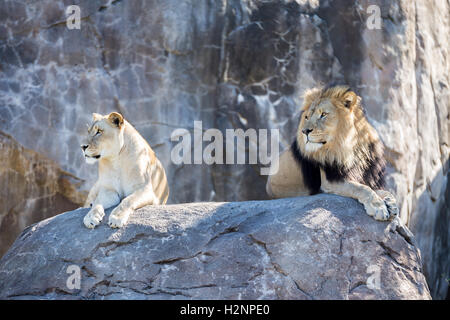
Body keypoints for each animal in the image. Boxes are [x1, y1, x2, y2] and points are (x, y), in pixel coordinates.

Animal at [266, 85, 400, 220]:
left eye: (323, 114)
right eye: (306, 117)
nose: (304, 131)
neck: (351, 148)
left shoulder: (369, 176)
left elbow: (381, 190)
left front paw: (391, 203)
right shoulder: (330, 181)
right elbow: (362, 188)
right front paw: (378, 207)